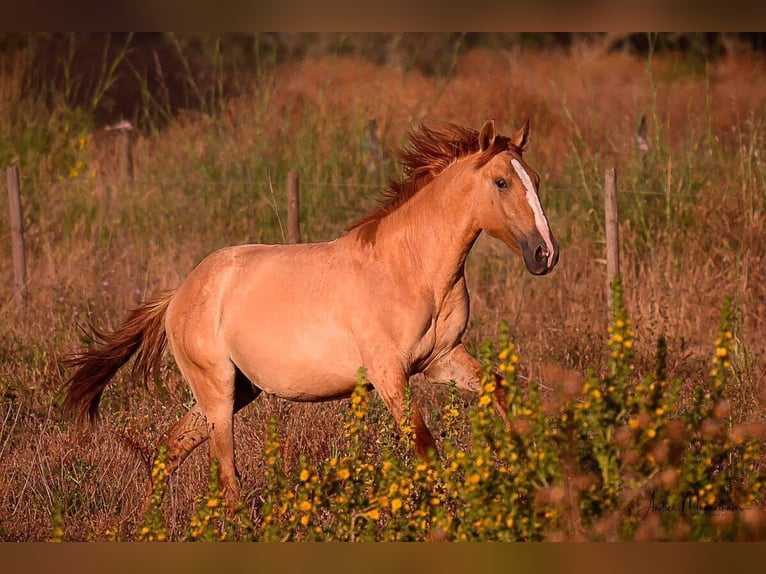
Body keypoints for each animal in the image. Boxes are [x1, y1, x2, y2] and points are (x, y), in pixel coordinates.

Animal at [63, 119, 560, 506]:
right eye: (501, 182)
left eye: (536, 179)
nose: (545, 254)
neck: (411, 268)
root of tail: (179, 294)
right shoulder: (388, 374)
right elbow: (424, 444)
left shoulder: (441, 360)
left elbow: (498, 388)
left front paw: (529, 461)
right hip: (217, 390)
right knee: (225, 474)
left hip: (237, 390)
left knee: (170, 449)